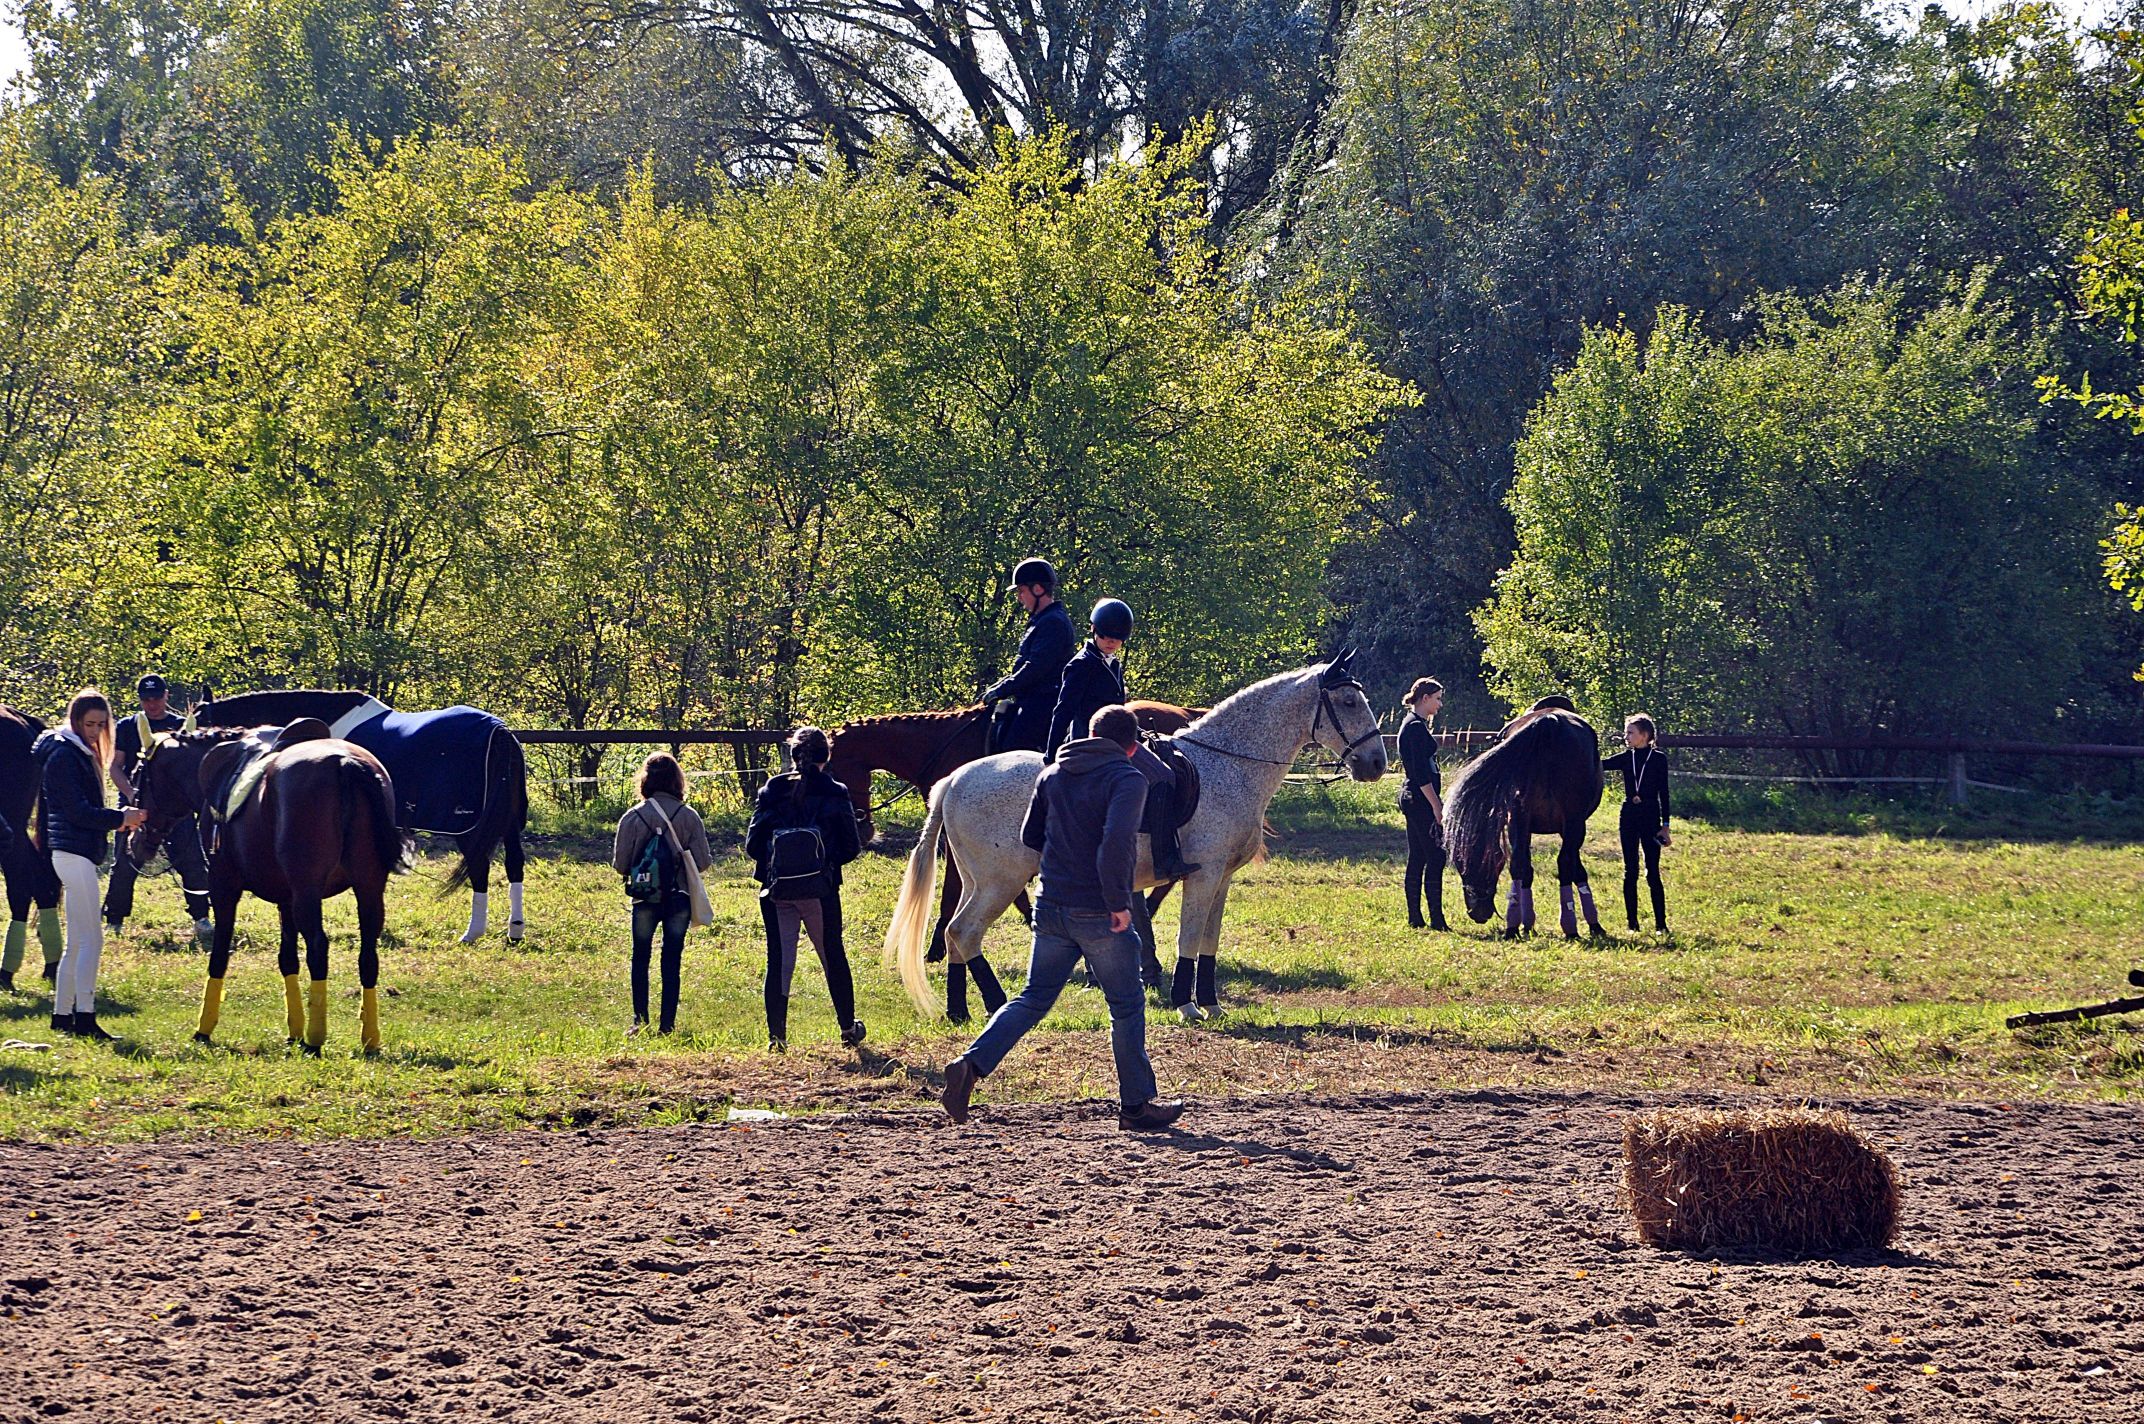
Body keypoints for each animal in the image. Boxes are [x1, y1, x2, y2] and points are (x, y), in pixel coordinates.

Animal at [126, 729, 409, 1050]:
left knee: (318, 947)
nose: (134, 840)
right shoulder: (287, 899)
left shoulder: (224, 886)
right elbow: (287, 959)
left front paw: (205, 1027)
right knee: (368, 955)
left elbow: (220, 953)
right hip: (368, 889)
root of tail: (344, 761)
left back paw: (315, 1039)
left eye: (137, 775)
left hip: (308, 892)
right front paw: (294, 1028)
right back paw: (368, 1038)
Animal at [198, 690, 531, 943]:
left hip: (470, 827)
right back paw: (514, 931)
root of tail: (499, 732)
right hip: (509, 822)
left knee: (479, 868)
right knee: (514, 864)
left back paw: (473, 933)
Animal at [883, 656, 1389, 1025]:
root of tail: (956, 779)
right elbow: (1189, 936)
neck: (1227, 765)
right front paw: (1187, 1004)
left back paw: (961, 1009)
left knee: (957, 934)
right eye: (1347, 701)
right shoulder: (1202, 875)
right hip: (999, 881)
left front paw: (1212, 1002)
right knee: (962, 931)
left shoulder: (1222, 879)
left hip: (979, 879)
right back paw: (992, 1003)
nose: (1376, 763)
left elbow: (1210, 939)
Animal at [1440, 699, 1612, 939]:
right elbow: (1577, 870)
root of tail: (1549, 723)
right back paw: (1568, 926)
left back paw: (1514, 926)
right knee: (1562, 863)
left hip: (1522, 819)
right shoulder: (1571, 827)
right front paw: (1593, 923)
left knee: (1520, 864)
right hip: (1567, 822)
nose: (1477, 912)